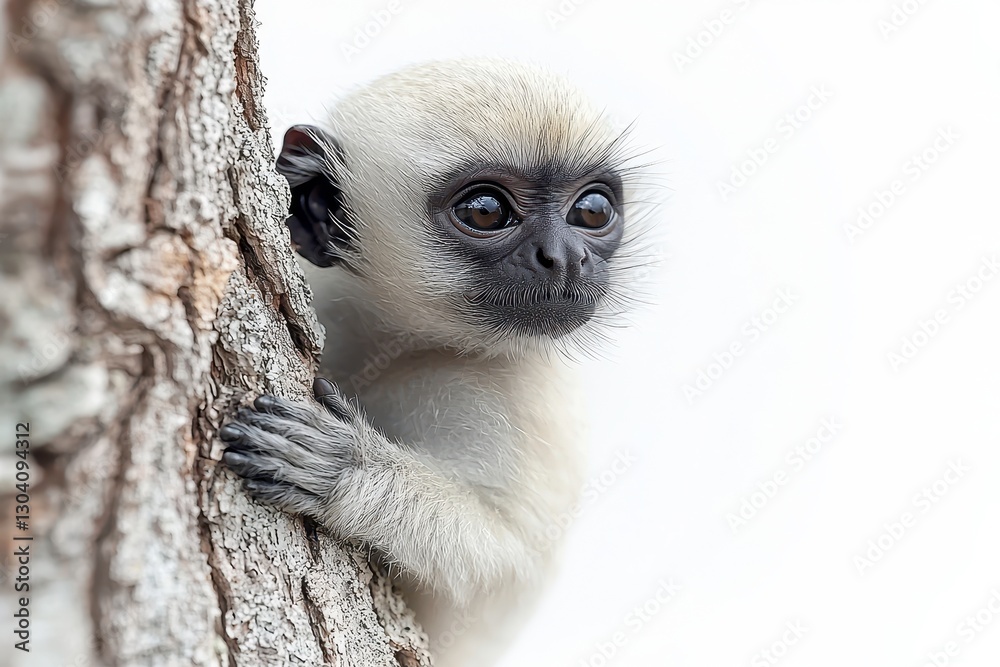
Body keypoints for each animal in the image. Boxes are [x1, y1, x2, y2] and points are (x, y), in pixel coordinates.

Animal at [219, 59, 648, 665]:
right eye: (486, 211)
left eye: (591, 211)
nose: (566, 257)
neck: (396, 340)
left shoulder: (515, 389)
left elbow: (502, 569)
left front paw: (347, 468)